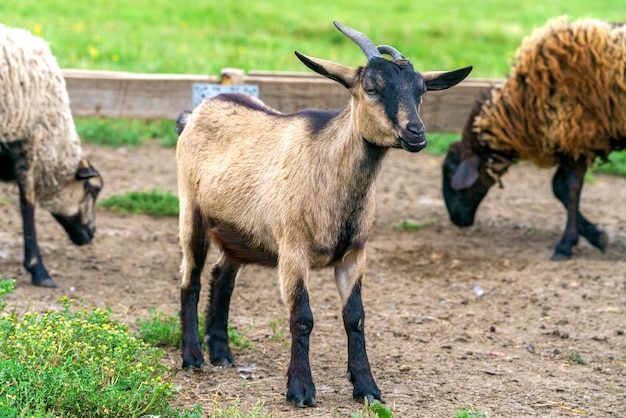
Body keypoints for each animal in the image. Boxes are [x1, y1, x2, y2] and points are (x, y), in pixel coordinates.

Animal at [173, 21, 470, 406]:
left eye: (421, 90)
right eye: (372, 87)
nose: (416, 133)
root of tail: (196, 113)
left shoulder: (354, 254)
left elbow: (355, 318)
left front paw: (367, 388)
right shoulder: (293, 251)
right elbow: (302, 318)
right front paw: (300, 390)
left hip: (238, 231)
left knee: (222, 278)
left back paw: (221, 353)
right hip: (191, 212)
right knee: (190, 280)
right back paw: (193, 357)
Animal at [442, 18, 620, 260]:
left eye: (450, 171)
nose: (456, 219)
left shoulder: (577, 137)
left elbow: (568, 188)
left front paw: (566, 244)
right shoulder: (573, 141)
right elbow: (560, 188)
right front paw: (596, 236)